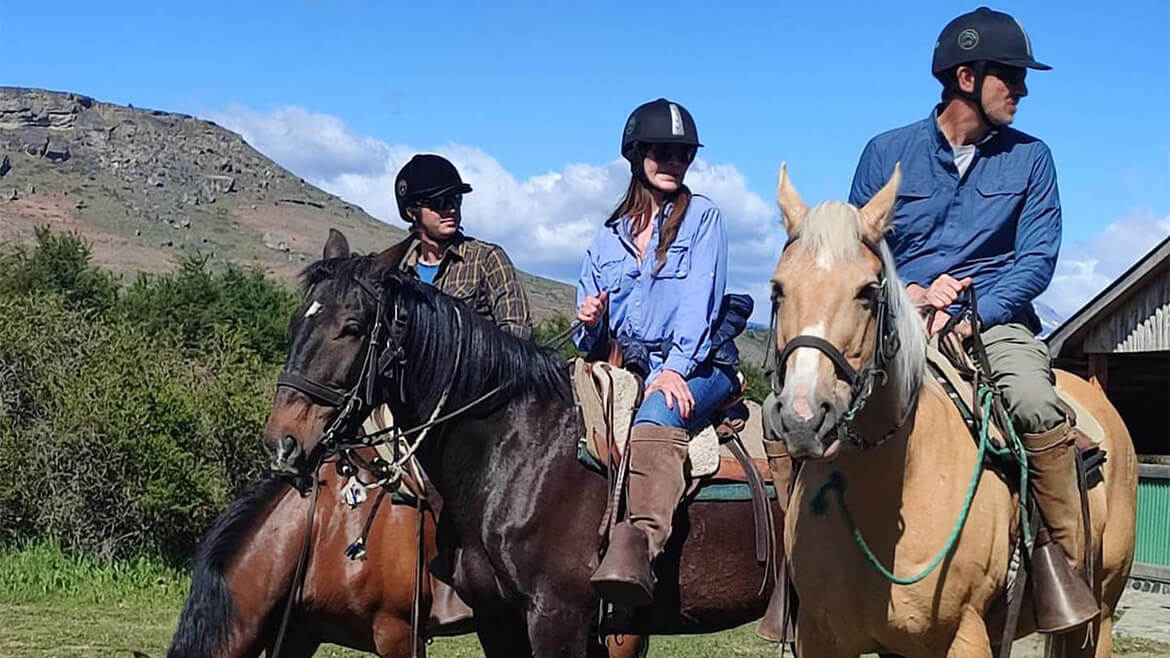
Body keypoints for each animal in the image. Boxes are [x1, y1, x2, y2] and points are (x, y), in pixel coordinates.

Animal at [263, 229, 786, 655]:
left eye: (352, 328)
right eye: (295, 324)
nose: (283, 444)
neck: (516, 451)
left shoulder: (558, 617)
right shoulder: (496, 619)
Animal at [758, 165, 1132, 655]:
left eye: (866, 292)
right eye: (778, 289)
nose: (803, 418)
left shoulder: (964, 635)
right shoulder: (820, 637)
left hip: (1101, 615)